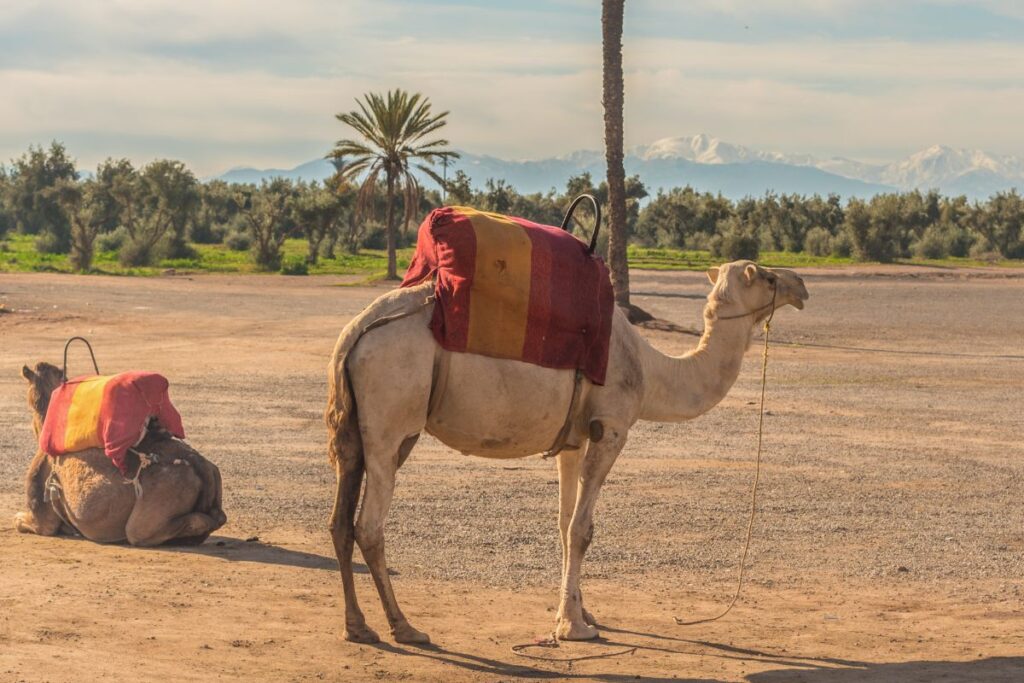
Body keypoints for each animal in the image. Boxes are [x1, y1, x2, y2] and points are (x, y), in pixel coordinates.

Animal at [325, 259, 806, 643]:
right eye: (766, 276)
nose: (800, 284)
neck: (651, 371)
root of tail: (355, 332)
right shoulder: (611, 429)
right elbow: (582, 529)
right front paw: (574, 627)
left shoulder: (574, 440)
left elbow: (563, 522)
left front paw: (579, 610)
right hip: (391, 419)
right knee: (370, 525)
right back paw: (404, 626)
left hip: (358, 431)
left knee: (340, 520)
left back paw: (358, 626)